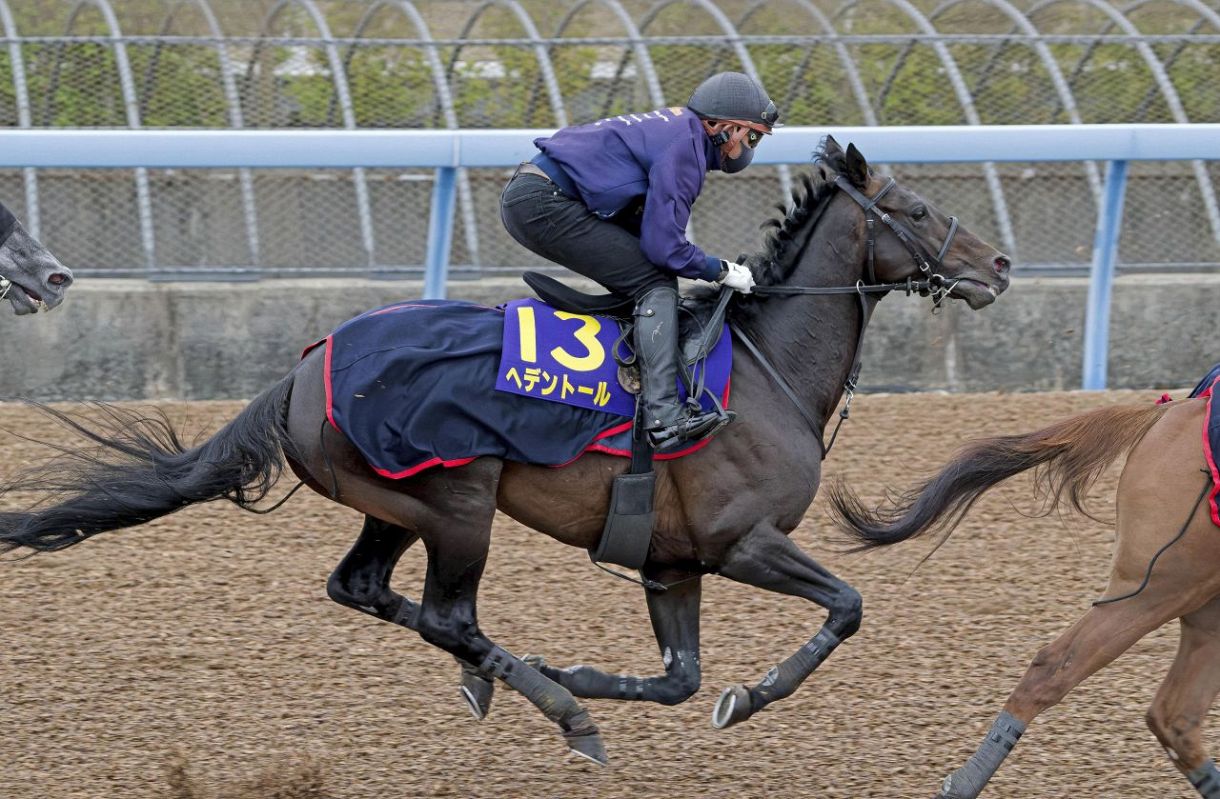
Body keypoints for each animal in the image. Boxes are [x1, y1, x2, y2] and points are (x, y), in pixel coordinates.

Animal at [0, 137, 1009, 765]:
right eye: (919, 206)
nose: (998, 266)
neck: (762, 370)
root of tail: (304, 365)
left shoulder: (672, 562)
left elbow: (679, 680)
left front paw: (591, 673)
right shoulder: (742, 541)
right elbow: (846, 606)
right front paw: (745, 695)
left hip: (395, 502)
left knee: (366, 589)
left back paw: (503, 682)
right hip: (459, 504)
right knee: (448, 614)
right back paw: (560, 714)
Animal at [829, 383, 1220, 798]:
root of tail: (1171, 412)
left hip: (1200, 601)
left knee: (1175, 716)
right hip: (1157, 586)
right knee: (1055, 668)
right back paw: (961, 785)